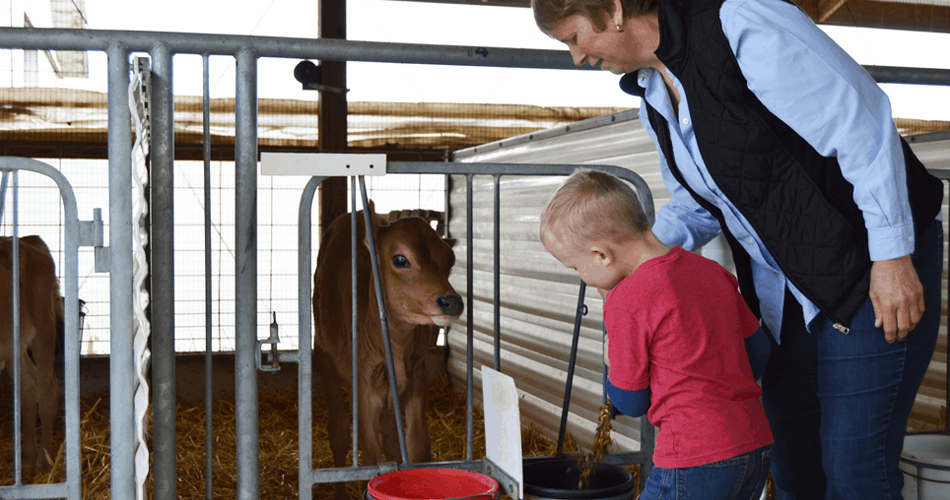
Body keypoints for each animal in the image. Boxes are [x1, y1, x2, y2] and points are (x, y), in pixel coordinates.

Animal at [0, 236, 63, 474]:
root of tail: (29, 240)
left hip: (43, 325)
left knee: (47, 391)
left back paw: (44, 460)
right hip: (14, 345)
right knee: (28, 389)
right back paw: (26, 459)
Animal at [314, 201, 462, 498]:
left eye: (450, 260)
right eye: (400, 259)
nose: (452, 302)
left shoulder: (415, 373)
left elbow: (417, 445)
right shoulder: (364, 379)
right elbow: (370, 456)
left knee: (392, 437)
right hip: (323, 351)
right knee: (339, 431)